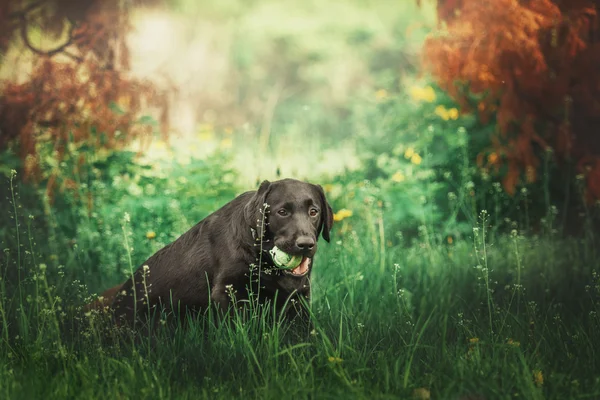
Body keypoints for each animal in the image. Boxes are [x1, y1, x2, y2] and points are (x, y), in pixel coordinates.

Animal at [85, 179, 332, 332]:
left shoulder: (299, 299)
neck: (259, 253)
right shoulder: (227, 294)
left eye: (314, 211)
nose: (305, 244)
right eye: (282, 212)